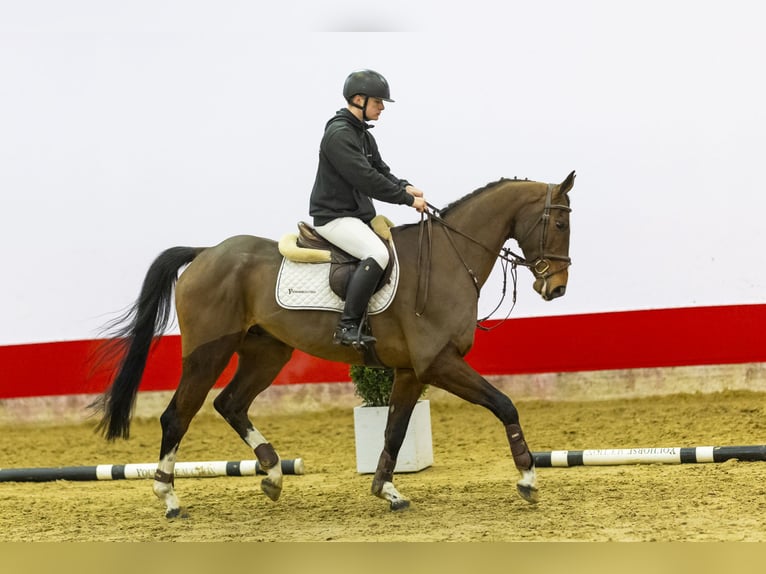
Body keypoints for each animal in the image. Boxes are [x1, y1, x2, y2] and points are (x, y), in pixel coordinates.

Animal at [91, 170, 576, 516]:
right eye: (558, 221)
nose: (556, 289)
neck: (446, 260)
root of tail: (206, 252)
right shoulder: (438, 363)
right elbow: (504, 405)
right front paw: (528, 479)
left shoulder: (410, 371)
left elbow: (396, 429)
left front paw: (387, 490)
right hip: (208, 352)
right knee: (178, 415)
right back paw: (169, 498)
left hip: (267, 352)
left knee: (230, 403)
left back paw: (272, 475)